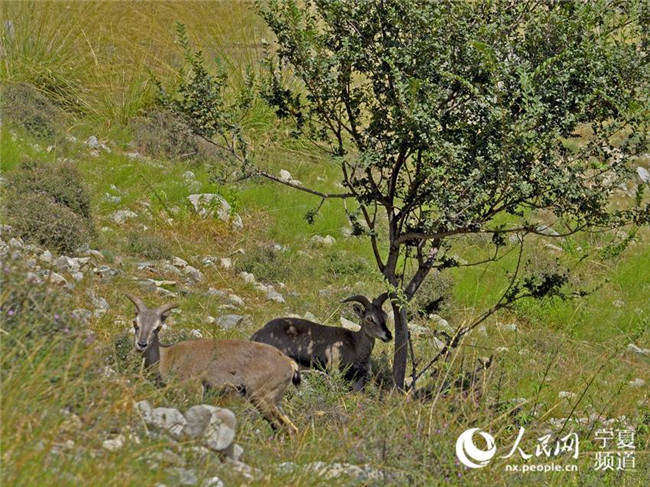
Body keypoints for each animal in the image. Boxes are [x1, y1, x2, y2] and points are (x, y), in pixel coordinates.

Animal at [125, 294, 299, 433]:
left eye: (158, 327)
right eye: (135, 323)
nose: (141, 344)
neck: (166, 356)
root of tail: (289, 363)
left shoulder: (194, 387)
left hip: (262, 397)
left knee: (284, 427)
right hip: (274, 400)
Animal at [250, 294, 392, 391]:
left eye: (384, 316)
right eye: (369, 318)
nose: (388, 335)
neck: (354, 344)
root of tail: (257, 334)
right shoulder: (334, 369)